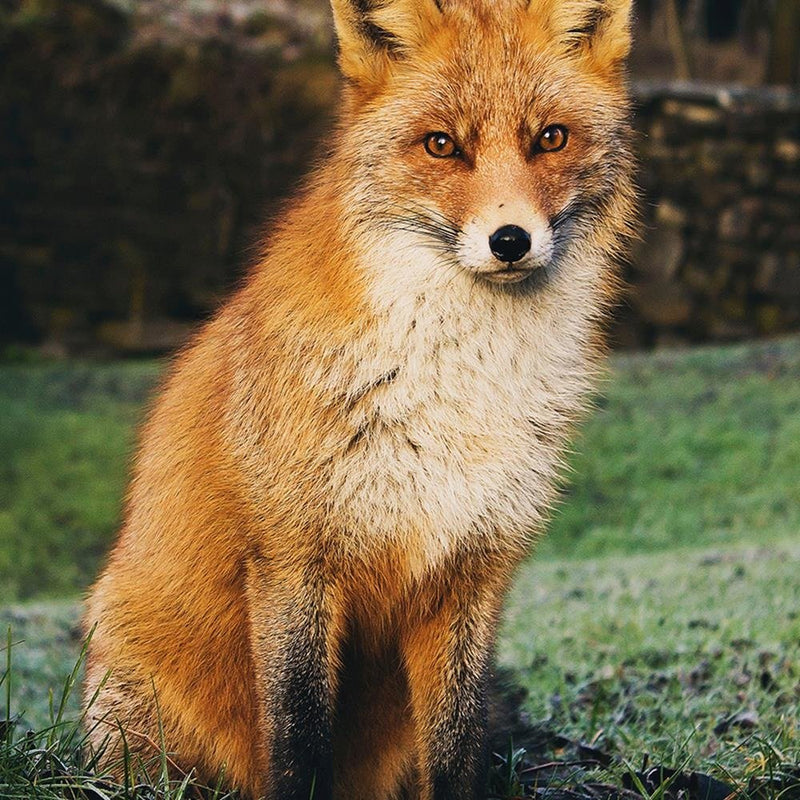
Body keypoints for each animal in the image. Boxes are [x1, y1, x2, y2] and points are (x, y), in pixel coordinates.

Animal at [83, 1, 636, 800]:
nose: (510, 240)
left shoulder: (472, 572)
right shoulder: (294, 560)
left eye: (551, 138)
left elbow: (457, 748)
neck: (455, 390)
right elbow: (299, 738)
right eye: (441, 145)